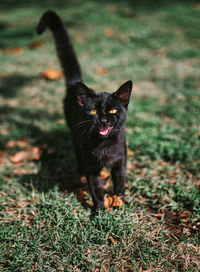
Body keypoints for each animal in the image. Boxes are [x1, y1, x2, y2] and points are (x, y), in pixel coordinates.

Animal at [36, 11, 132, 212]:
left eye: (113, 110)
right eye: (93, 111)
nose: (103, 120)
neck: (104, 147)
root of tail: (74, 84)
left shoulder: (121, 162)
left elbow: (120, 182)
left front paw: (119, 201)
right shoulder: (91, 167)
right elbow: (96, 190)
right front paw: (100, 212)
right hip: (74, 135)